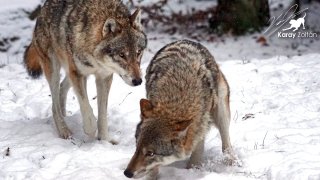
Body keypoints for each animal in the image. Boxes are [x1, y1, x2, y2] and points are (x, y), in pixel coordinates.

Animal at [23, 0, 148, 142]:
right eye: (122, 55)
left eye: (138, 53)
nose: (138, 81)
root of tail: (42, 9)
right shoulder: (78, 74)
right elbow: (86, 108)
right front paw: (90, 130)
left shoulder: (104, 77)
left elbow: (102, 114)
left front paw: (104, 140)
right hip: (55, 69)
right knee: (54, 104)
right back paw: (64, 130)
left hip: (71, 71)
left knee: (62, 88)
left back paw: (65, 115)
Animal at [124, 39, 238, 179]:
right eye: (137, 147)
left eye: (150, 153)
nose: (127, 173)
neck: (178, 95)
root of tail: (183, 40)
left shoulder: (200, 125)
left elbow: (198, 149)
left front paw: (193, 169)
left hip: (221, 112)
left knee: (226, 142)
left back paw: (232, 162)